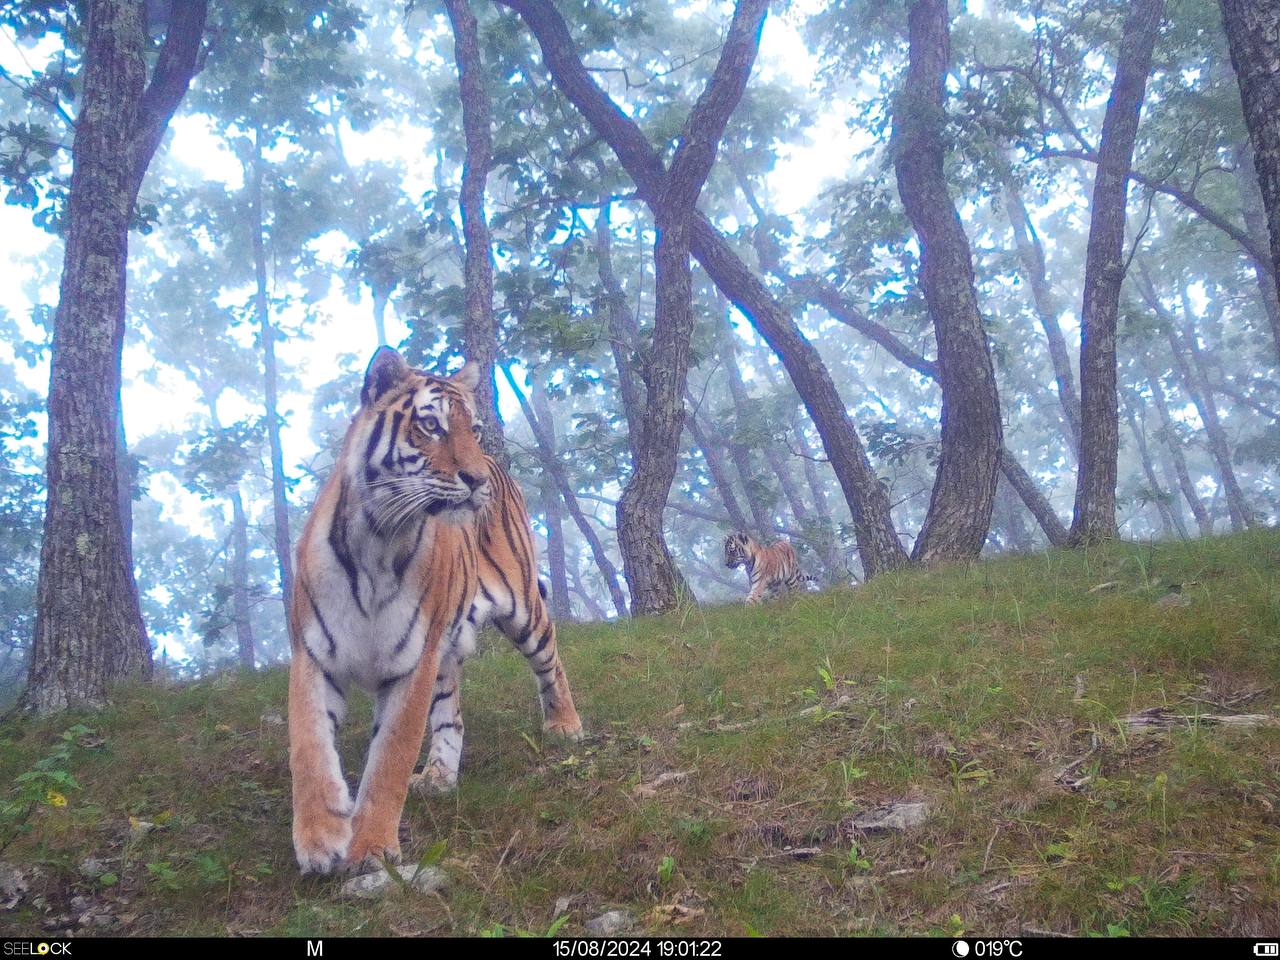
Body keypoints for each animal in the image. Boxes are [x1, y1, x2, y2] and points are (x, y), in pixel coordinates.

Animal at [288, 348, 583, 880]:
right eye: (431, 426)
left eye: (476, 430)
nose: (477, 480)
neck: (378, 539)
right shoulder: (314, 654)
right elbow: (309, 747)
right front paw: (320, 840)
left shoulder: (412, 663)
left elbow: (390, 759)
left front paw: (371, 848)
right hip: (444, 652)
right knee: (452, 718)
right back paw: (439, 776)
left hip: (523, 608)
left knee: (550, 659)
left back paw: (565, 726)